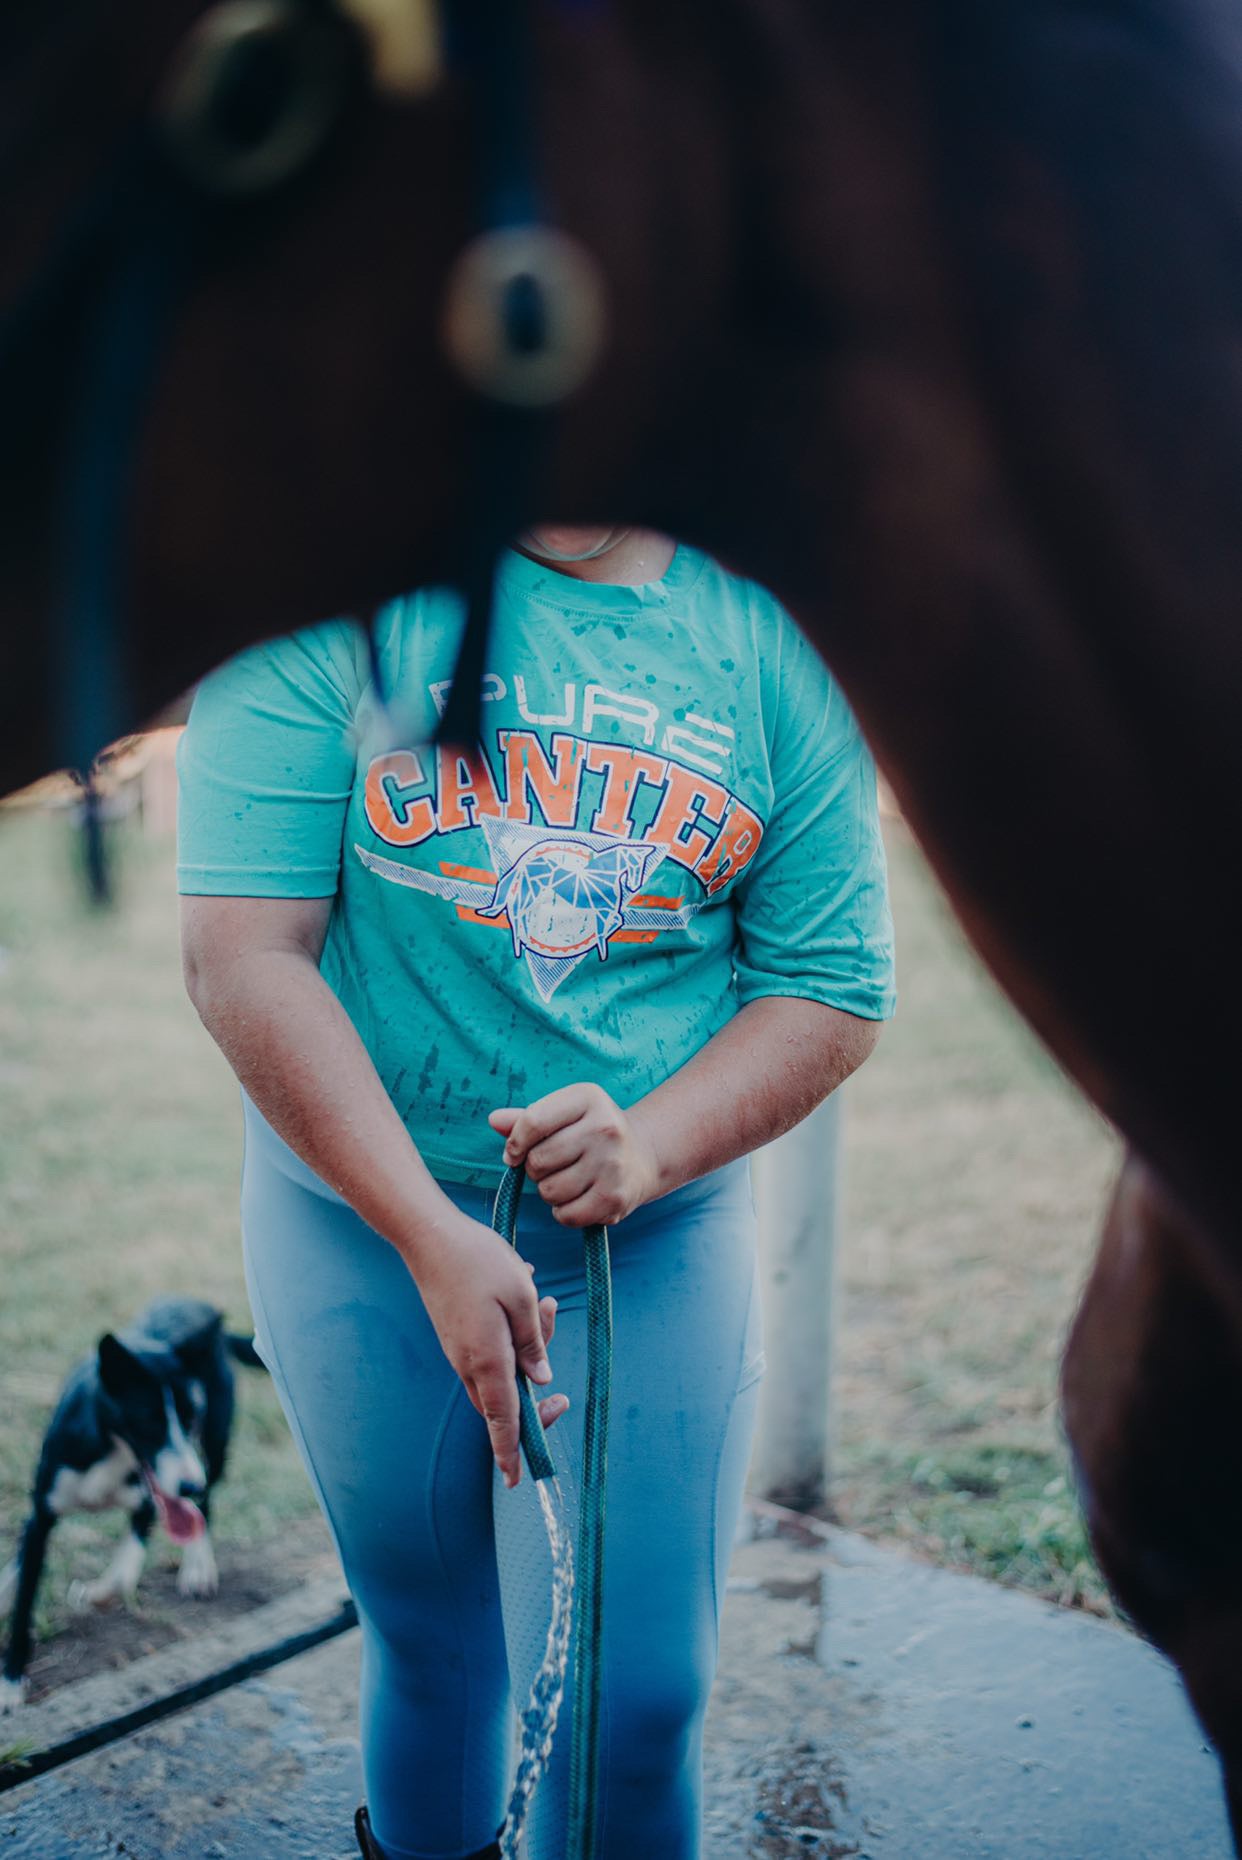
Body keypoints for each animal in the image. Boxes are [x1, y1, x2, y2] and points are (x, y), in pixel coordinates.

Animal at [0, 1302, 262, 1703]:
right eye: (149, 1421)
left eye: (192, 1416)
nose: (190, 1485)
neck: (112, 1449)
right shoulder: (42, 1513)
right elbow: (24, 1591)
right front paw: (11, 1680)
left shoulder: (153, 1500)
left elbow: (126, 1568)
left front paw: (97, 1593)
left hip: (215, 1446)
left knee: (206, 1507)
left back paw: (198, 1566)